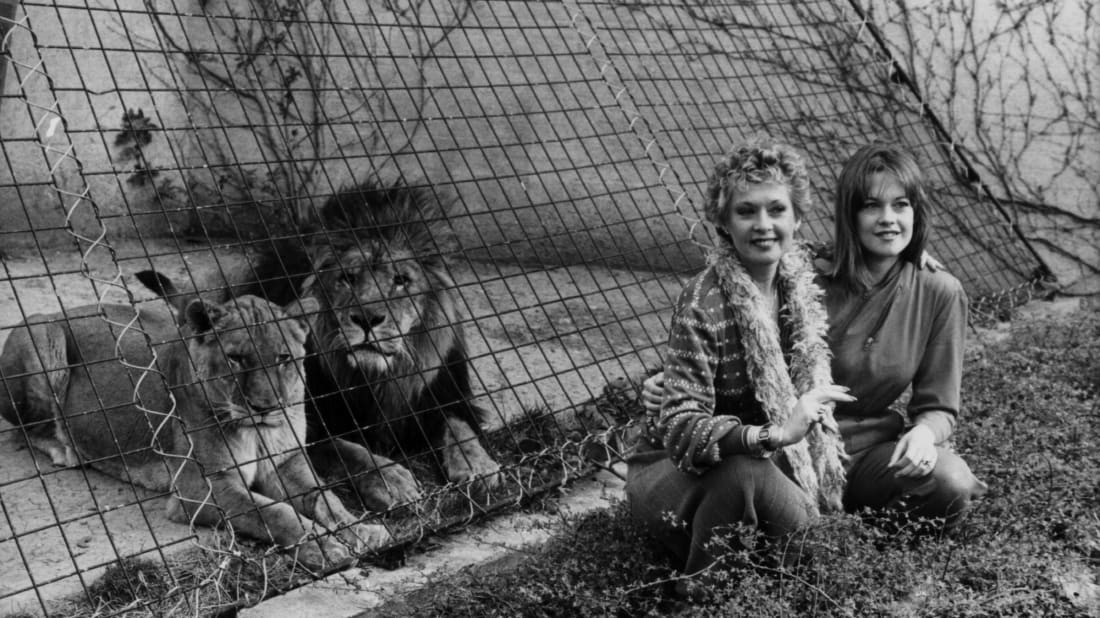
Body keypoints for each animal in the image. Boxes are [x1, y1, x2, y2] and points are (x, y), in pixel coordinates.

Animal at [0, 288, 389, 567]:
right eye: (235, 358)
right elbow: (276, 513)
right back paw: (67, 449)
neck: (257, 432)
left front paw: (364, 531)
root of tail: (56, 311)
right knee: (25, 428)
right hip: (43, 340)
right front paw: (323, 549)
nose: (264, 407)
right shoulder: (201, 488)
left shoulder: (286, 463)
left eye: (283, 358)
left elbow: (326, 498)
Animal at [140, 178, 499, 510]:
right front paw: (391, 480)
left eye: (401, 280)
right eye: (348, 278)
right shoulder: (305, 423)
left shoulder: (443, 395)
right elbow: (349, 449)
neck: (371, 379)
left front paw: (478, 465)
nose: (367, 319)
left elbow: (459, 428)